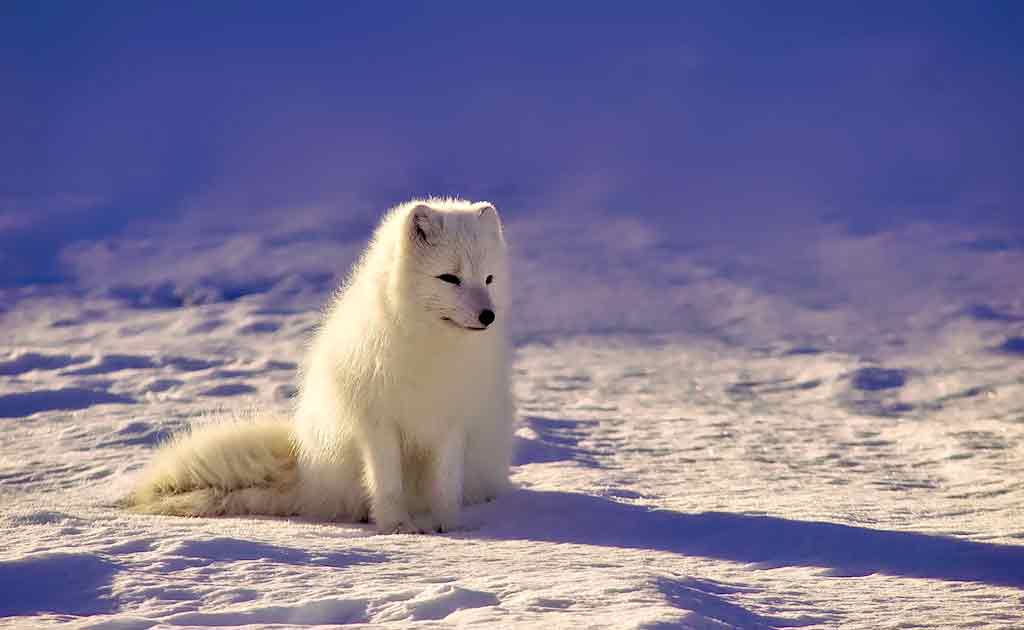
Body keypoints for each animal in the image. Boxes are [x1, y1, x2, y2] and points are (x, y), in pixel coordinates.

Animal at [123, 199, 516, 536]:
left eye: (489, 279)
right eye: (449, 278)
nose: (488, 316)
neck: (432, 347)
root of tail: (305, 472)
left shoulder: (452, 422)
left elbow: (446, 485)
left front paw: (447, 526)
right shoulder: (377, 423)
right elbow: (387, 483)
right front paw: (397, 527)